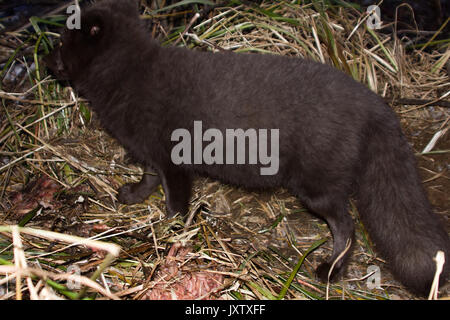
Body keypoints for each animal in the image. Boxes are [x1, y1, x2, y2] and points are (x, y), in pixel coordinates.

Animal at [44, 0, 448, 296]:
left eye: (61, 42)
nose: (46, 62)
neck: (129, 75)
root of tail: (373, 102)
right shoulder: (150, 150)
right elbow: (148, 177)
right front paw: (132, 195)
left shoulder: (174, 156)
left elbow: (176, 200)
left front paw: (168, 229)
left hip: (317, 186)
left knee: (346, 227)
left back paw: (330, 270)